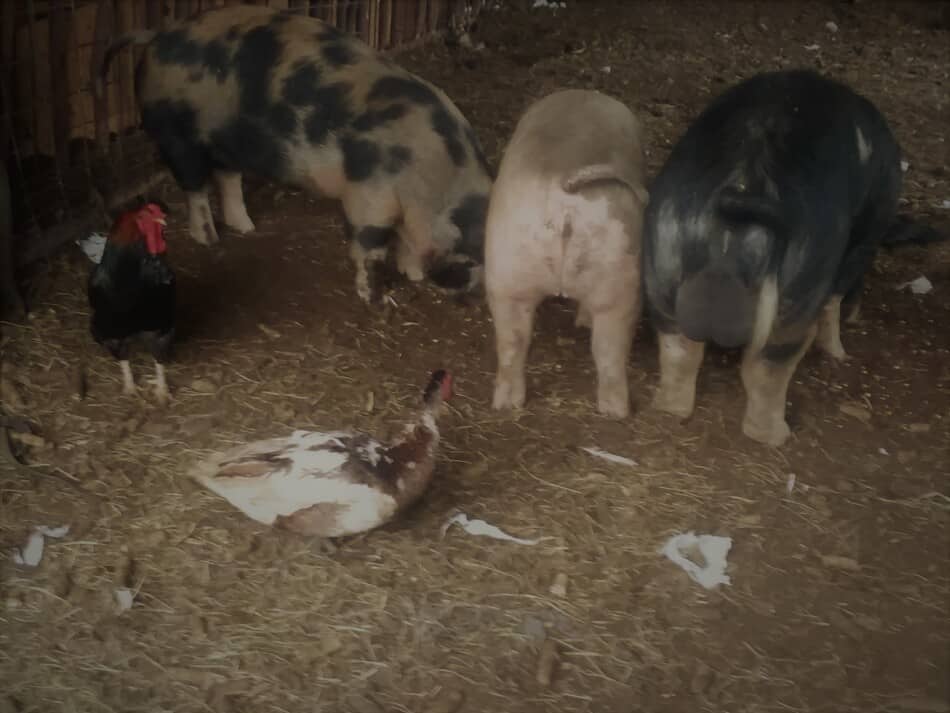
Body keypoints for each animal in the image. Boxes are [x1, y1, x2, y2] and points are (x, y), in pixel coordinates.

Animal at [100, 5, 494, 302]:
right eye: (473, 256)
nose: (467, 293)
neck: (435, 180)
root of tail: (157, 36)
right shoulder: (369, 197)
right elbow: (369, 246)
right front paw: (374, 297)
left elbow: (404, 244)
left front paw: (411, 276)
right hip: (174, 134)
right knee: (194, 186)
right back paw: (209, 239)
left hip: (227, 142)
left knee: (228, 177)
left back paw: (246, 227)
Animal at [644, 68, 904, 444]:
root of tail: (743, 186)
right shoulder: (864, 238)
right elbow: (834, 301)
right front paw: (840, 354)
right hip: (800, 282)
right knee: (771, 362)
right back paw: (776, 436)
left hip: (662, 264)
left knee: (678, 347)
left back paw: (668, 410)